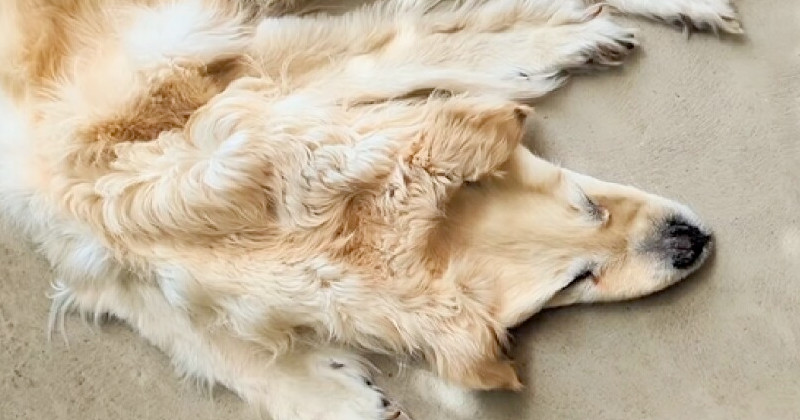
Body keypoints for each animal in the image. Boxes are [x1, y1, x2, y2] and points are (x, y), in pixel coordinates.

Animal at [0, 0, 740, 418]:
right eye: (576, 279)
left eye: (588, 206)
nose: (693, 242)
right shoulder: (69, 228)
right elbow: (176, 321)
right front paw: (322, 393)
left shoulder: (257, 59)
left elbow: (416, 40)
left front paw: (549, 45)